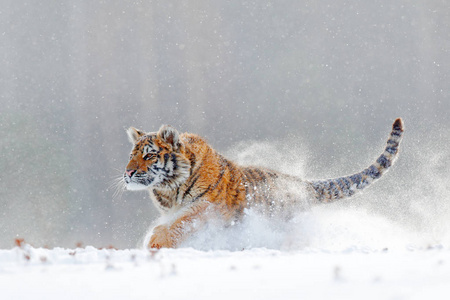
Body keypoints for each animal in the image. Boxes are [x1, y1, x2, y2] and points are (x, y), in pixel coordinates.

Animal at [123, 119, 404, 248]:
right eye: (132, 154)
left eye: (149, 155)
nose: (128, 173)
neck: (170, 189)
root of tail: (303, 184)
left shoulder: (208, 207)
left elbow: (181, 223)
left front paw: (156, 242)